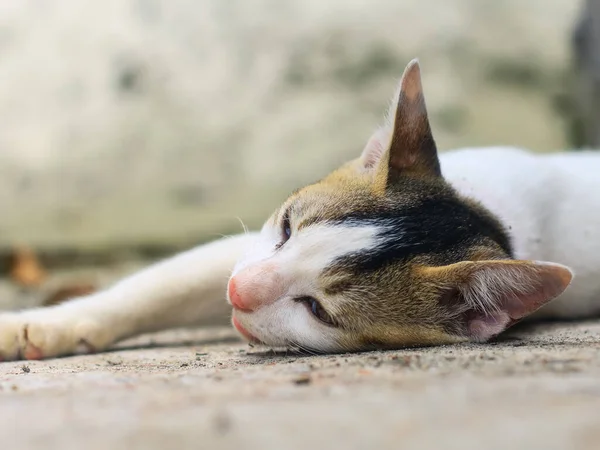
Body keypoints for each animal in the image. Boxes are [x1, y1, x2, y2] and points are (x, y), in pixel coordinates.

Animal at [1, 59, 600, 360]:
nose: (237, 293)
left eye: (317, 310)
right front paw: (41, 325)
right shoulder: (242, 253)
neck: (491, 212)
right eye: (287, 227)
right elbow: (151, 288)